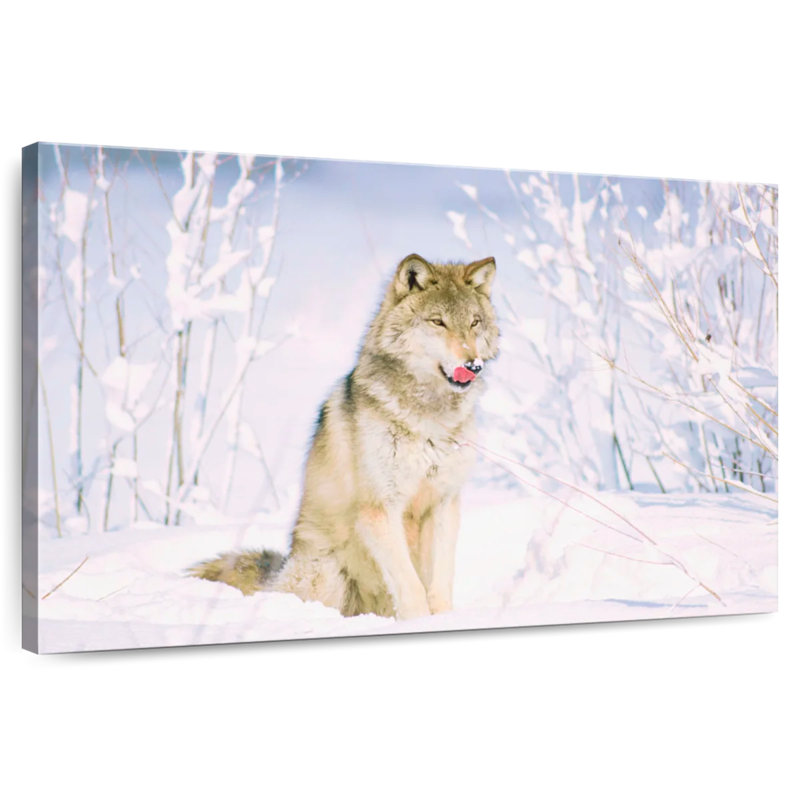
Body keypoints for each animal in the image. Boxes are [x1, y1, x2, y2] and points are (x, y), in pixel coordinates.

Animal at [190, 254, 499, 619]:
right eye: (438, 322)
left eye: (474, 323)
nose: (474, 365)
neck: (428, 418)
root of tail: (279, 573)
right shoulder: (379, 509)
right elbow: (411, 588)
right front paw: (418, 622)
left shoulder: (443, 503)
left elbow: (439, 584)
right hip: (328, 573)